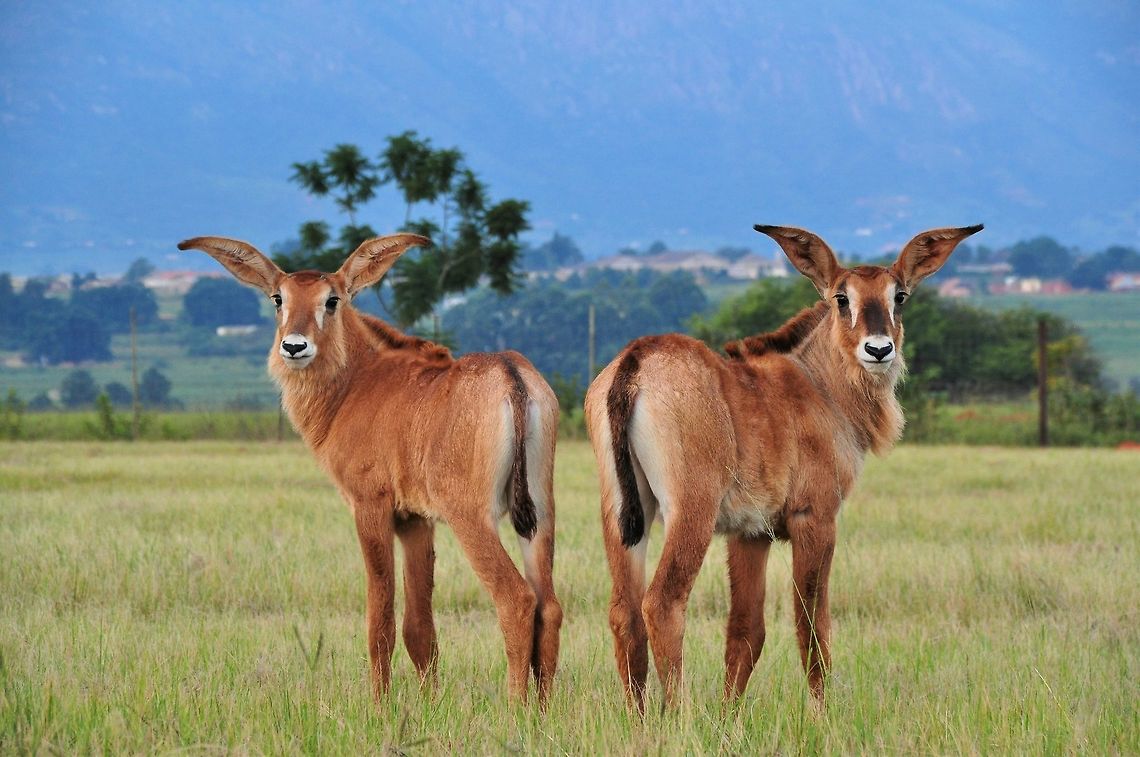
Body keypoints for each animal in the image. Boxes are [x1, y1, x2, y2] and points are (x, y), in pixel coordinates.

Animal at [178, 234, 563, 706]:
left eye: (332, 300)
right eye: (278, 298)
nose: (294, 347)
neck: (357, 383)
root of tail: (512, 377)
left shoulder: (370, 506)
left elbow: (380, 620)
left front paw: (379, 706)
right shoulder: (416, 520)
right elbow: (420, 627)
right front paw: (430, 704)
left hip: (472, 517)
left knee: (516, 599)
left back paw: (516, 709)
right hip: (539, 515)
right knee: (549, 605)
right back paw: (544, 711)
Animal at [585, 223, 982, 711]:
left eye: (900, 295)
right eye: (841, 297)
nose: (878, 349)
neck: (819, 385)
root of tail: (635, 362)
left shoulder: (751, 534)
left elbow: (745, 632)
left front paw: (728, 719)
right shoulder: (815, 519)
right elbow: (812, 627)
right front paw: (820, 715)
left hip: (623, 513)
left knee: (624, 610)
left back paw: (639, 719)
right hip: (690, 510)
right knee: (661, 602)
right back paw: (678, 716)